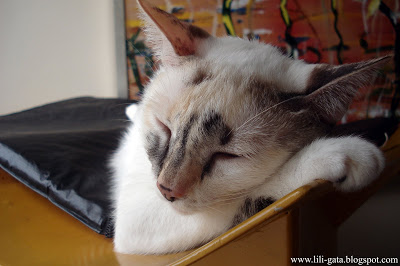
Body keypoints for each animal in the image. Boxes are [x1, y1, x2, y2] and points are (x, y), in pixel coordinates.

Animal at [108, 0, 388, 255]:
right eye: (164, 128)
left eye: (228, 156)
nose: (167, 190)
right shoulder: (135, 218)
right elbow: (251, 195)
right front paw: (340, 154)